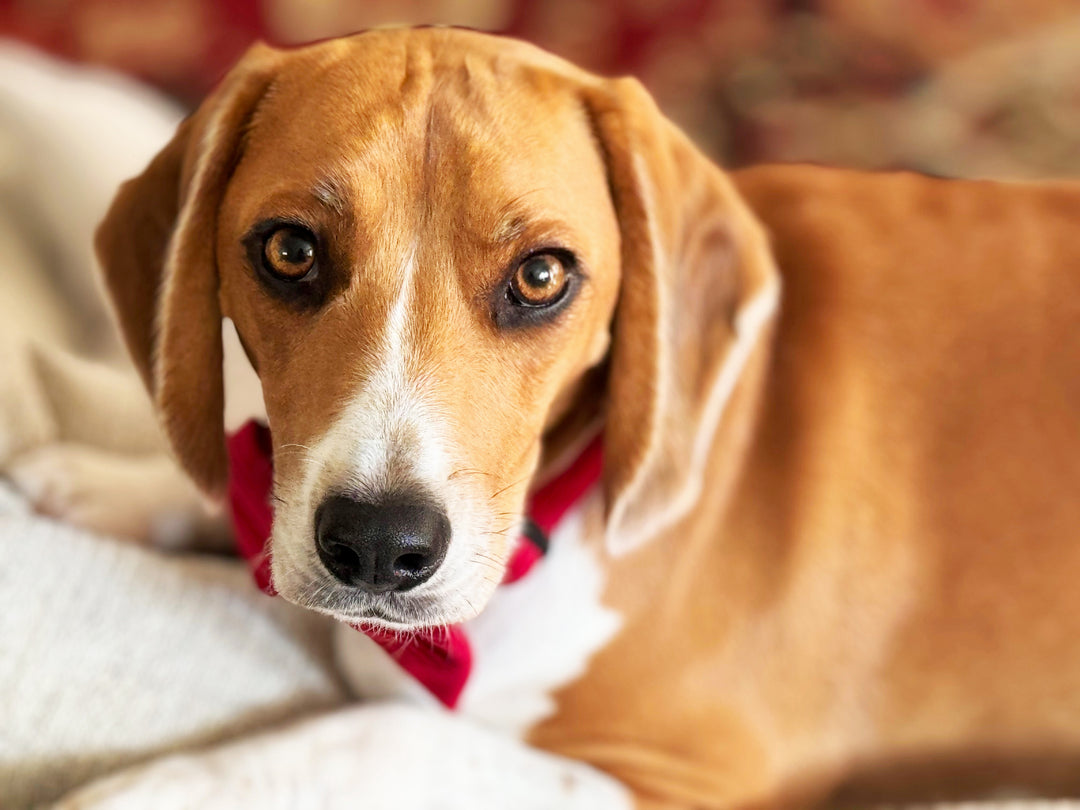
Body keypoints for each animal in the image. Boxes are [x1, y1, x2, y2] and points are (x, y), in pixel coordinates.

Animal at [23, 25, 1080, 810]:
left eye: (541, 276)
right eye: (290, 251)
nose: (377, 545)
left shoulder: (676, 780)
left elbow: (375, 736)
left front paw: (145, 789)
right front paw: (114, 482)